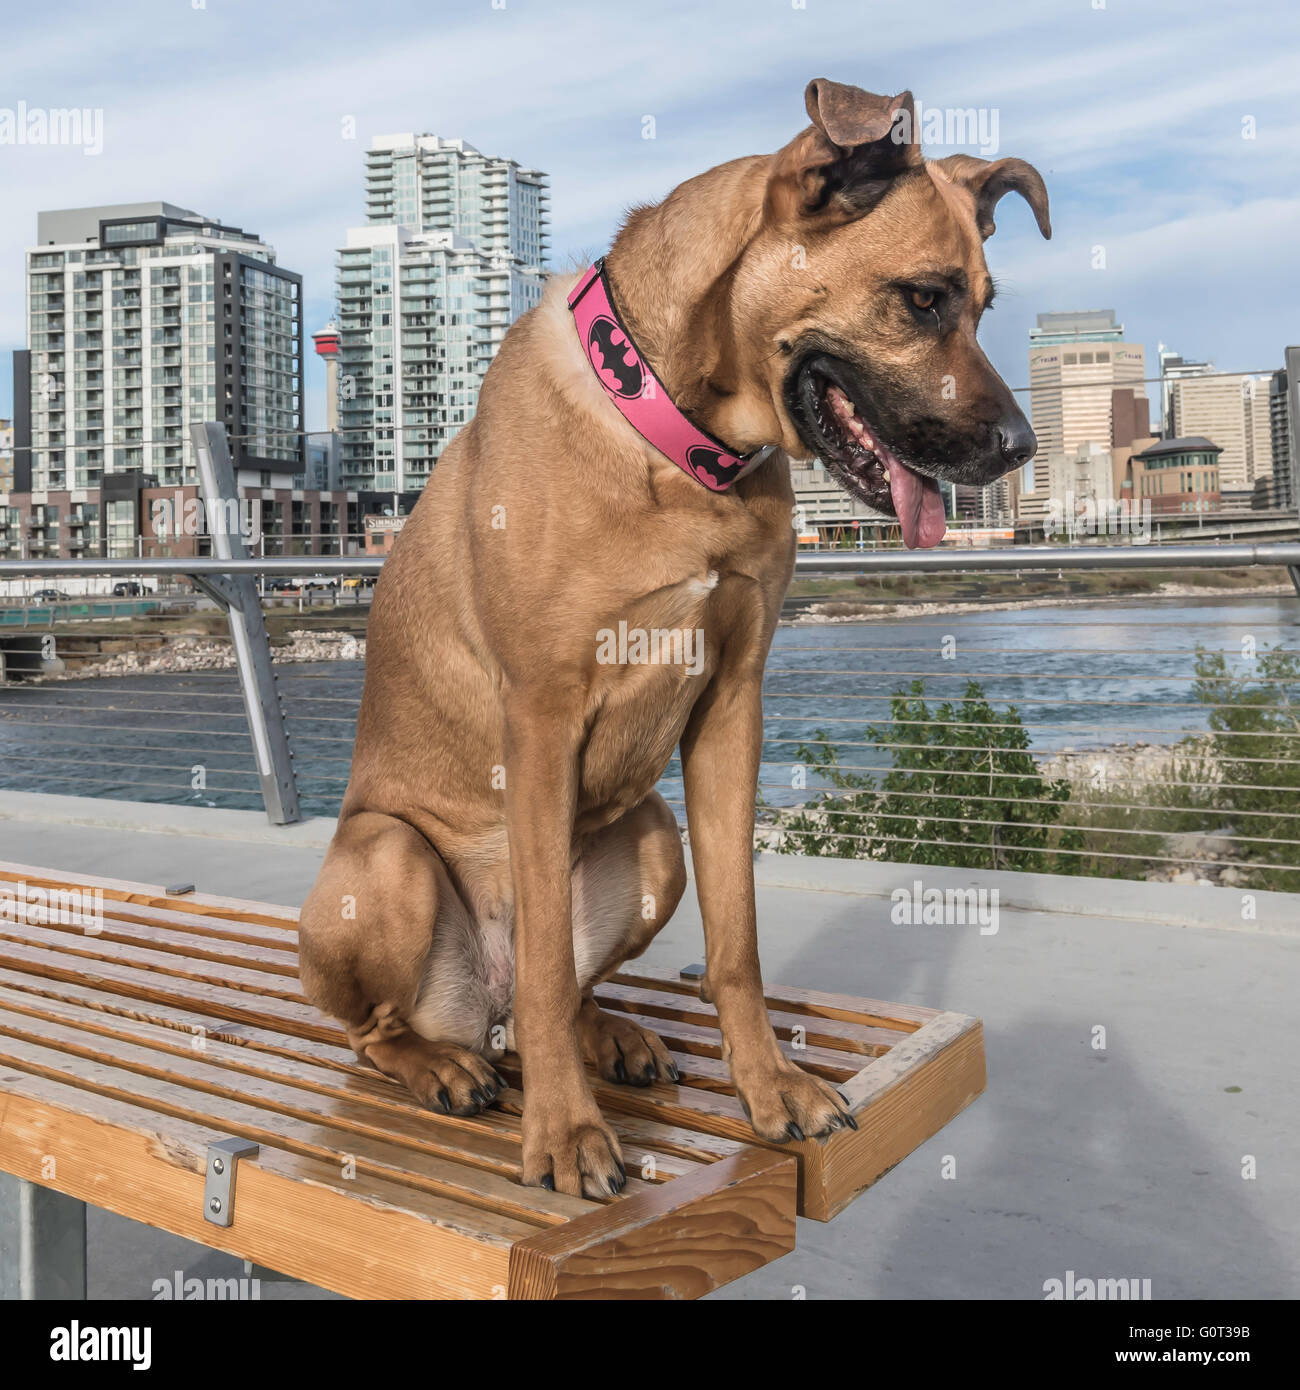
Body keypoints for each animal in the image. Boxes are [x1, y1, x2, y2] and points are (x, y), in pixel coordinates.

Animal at [300, 81, 1051, 1200]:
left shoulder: (733, 703)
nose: (1019, 448)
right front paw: (565, 1133)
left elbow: (736, 941)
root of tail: (477, 1001)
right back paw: (442, 1066)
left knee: (559, 992)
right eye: (923, 298)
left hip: (653, 836)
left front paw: (768, 1084)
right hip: (385, 858)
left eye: (985, 305)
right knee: (401, 1024)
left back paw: (606, 1033)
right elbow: (548, 960)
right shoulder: (541, 717)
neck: (678, 440)